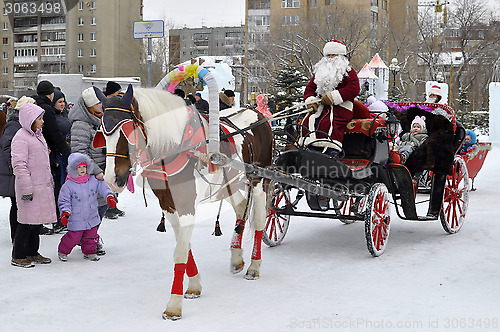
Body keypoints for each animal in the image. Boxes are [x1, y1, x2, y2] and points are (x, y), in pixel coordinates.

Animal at [94, 85, 274, 320]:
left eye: (128, 132)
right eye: (102, 132)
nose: (112, 180)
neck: (176, 147)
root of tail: (258, 113)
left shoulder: (187, 205)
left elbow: (179, 252)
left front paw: (174, 305)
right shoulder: (169, 205)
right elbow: (184, 245)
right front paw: (195, 285)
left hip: (260, 180)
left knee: (260, 220)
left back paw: (254, 266)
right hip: (230, 184)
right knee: (241, 208)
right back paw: (236, 257)